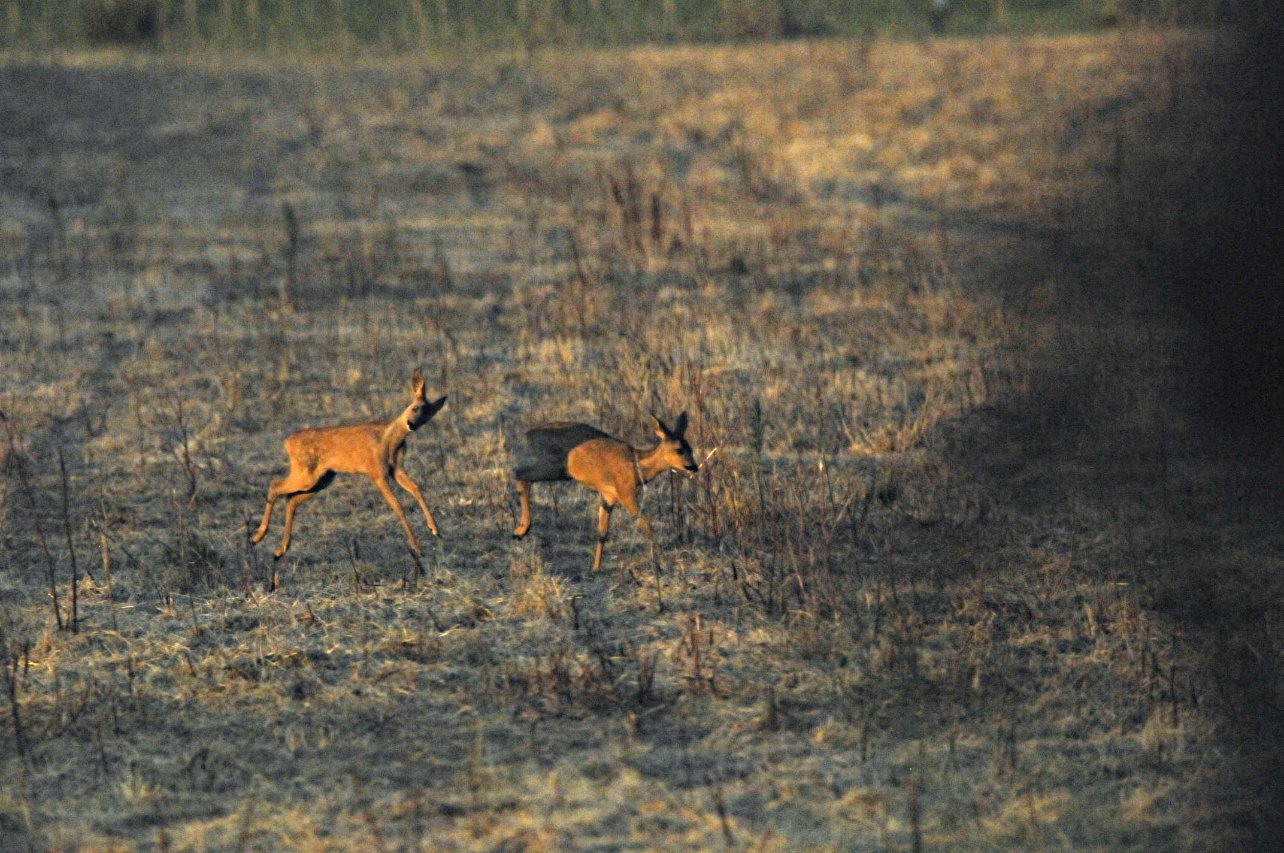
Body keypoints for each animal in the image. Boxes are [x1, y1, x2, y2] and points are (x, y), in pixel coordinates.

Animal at [251, 368, 447, 560]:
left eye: (427, 416)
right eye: (415, 407)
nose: (411, 424)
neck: (389, 440)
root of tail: (288, 442)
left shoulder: (396, 469)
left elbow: (416, 489)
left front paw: (435, 529)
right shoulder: (377, 471)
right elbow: (397, 507)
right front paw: (417, 548)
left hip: (322, 479)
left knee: (291, 499)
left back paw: (279, 549)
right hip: (306, 474)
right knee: (275, 485)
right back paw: (258, 537)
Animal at [511, 412, 699, 572]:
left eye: (690, 447)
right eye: (679, 449)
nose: (694, 467)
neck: (637, 467)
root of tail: (529, 435)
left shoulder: (609, 496)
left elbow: (602, 532)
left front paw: (596, 567)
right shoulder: (625, 492)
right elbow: (645, 524)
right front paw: (663, 562)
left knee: (522, 476)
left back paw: (520, 530)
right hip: (553, 467)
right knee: (520, 475)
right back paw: (521, 530)